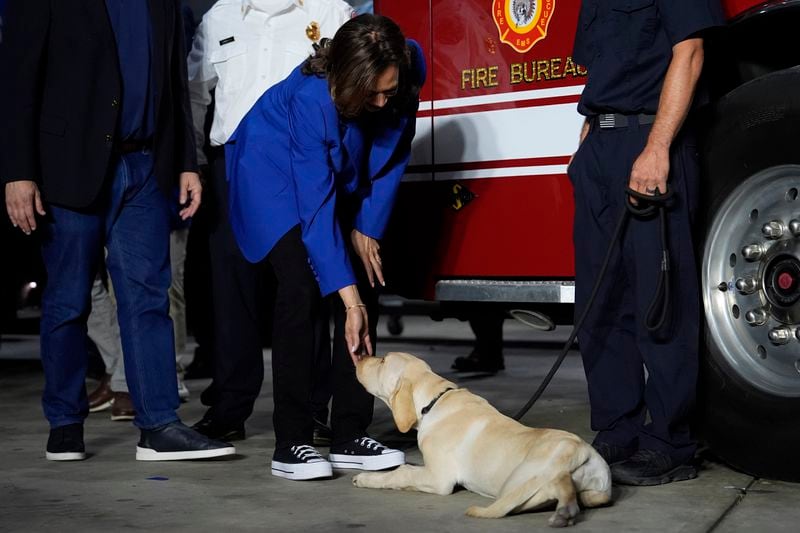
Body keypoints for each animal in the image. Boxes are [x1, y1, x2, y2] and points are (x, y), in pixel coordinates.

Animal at [354, 352, 608, 524]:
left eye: (383, 361)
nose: (360, 356)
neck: (434, 401)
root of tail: (577, 450)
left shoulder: (439, 479)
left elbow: (401, 472)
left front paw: (366, 478)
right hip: (596, 490)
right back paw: (566, 510)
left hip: (517, 480)